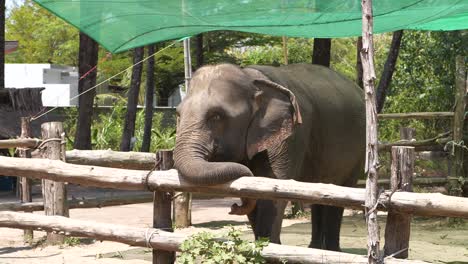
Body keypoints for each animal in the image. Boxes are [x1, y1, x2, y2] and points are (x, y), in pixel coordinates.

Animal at [173, 63, 366, 251]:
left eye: (216, 116)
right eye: (178, 114)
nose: (233, 207)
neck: (251, 78)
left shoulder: (291, 137)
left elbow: (271, 192)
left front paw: (270, 248)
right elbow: (252, 191)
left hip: (358, 150)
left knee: (341, 192)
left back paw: (332, 250)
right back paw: (316, 249)